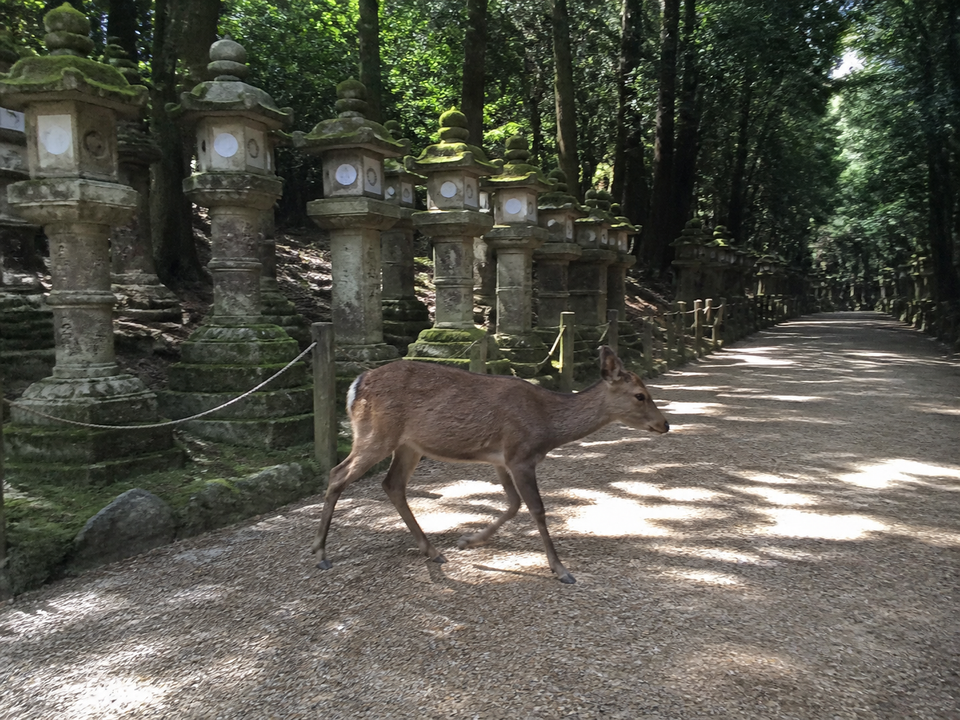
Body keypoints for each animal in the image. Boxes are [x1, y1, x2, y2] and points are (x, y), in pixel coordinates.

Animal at [311, 345, 669, 584]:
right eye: (640, 395)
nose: (665, 424)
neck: (548, 427)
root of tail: (356, 384)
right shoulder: (520, 454)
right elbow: (537, 508)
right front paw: (561, 570)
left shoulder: (502, 459)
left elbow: (512, 503)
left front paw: (469, 541)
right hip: (377, 434)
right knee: (337, 473)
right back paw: (320, 552)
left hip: (409, 445)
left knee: (392, 484)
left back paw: (432, 550)